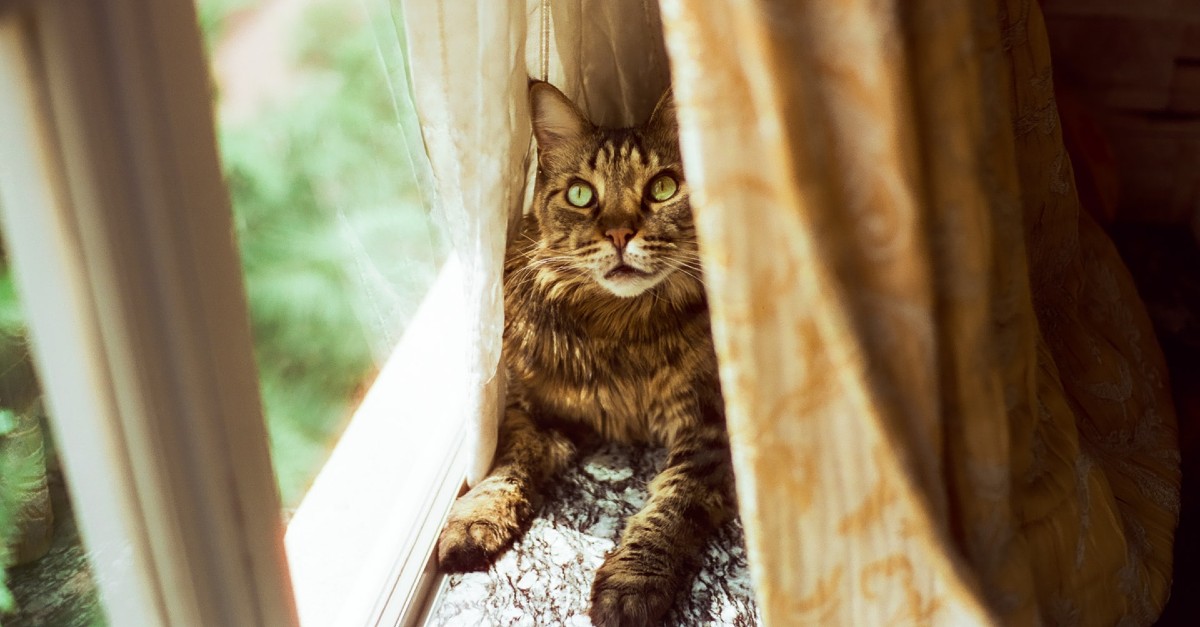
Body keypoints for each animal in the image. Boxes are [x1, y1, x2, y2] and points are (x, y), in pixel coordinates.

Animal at [432, 79, 729, 624]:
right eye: (580, 194)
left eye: (663, 188)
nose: (619, 233)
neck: (620, 327)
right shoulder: (535, 406)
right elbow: (509, 461)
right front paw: (477, 515)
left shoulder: (712, 427)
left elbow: (672, 507)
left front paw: (631, 583)